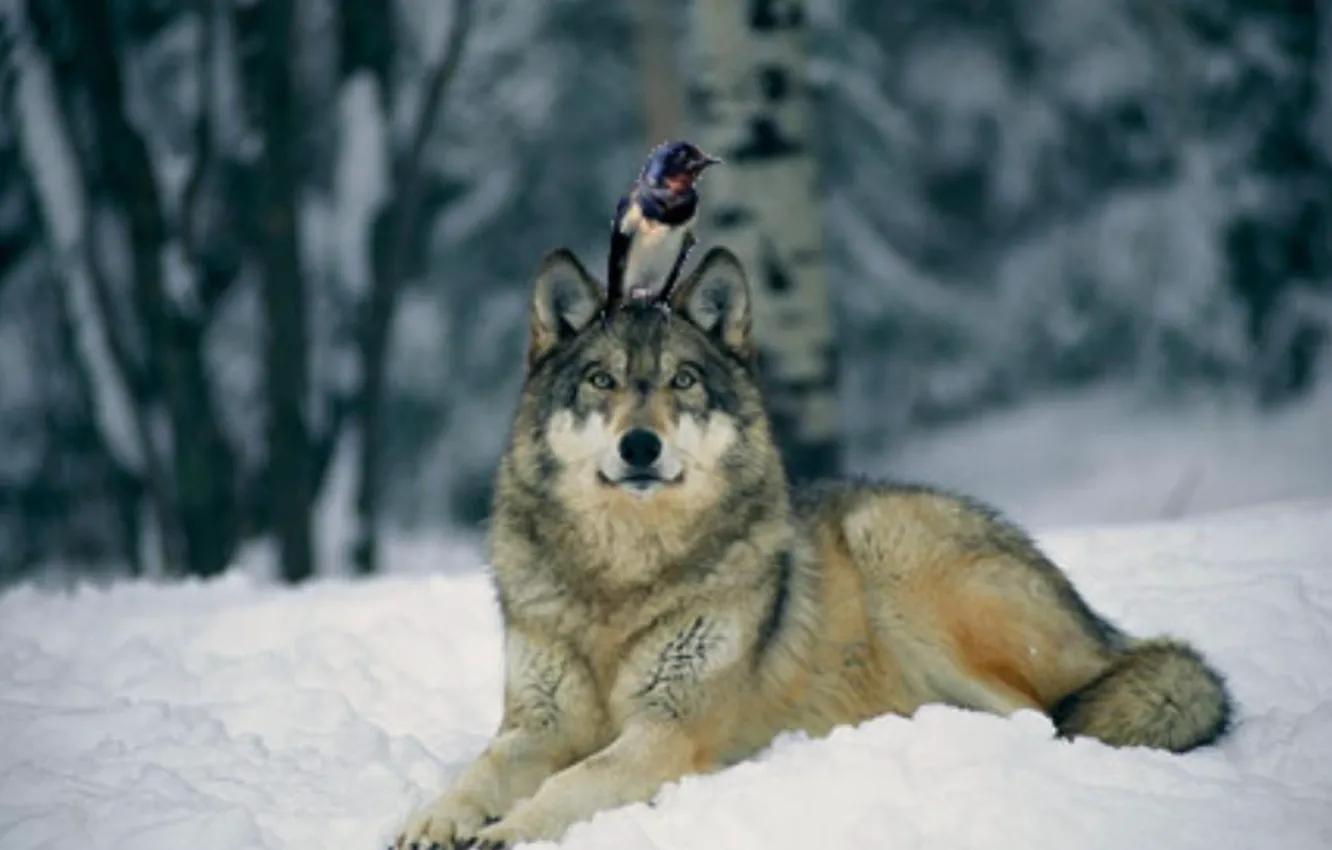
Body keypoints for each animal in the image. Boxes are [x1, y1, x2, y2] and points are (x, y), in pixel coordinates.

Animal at [395, 246, 1232, 849]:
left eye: (684, 381)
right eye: (601, 380)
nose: (640, 445)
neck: (623, 574)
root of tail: (1105, 633)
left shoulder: (668, 729)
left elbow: (565, 788)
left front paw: (507, 831)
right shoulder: (538, 726)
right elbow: (478, 772)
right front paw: (433, 820)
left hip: (896, 551)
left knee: (1045, 718)